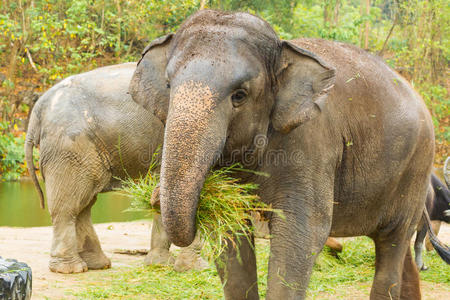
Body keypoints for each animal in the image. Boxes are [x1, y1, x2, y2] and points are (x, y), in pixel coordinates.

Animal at [25, 63, 207, 274]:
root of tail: (37, 110)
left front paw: (163, 264)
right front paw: (194, 267)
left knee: (84, 204)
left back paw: (96, 265)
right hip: (69, 147)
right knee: (70, 205)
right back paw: (71, 269)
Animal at [128, 9, 448, 300]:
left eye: (240, 96)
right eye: (168, 86)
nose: (153, 197)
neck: (285, 52)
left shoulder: (311, 145)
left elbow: (301, 233)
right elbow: (232, 233)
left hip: (416, 168)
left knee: (392, 244)